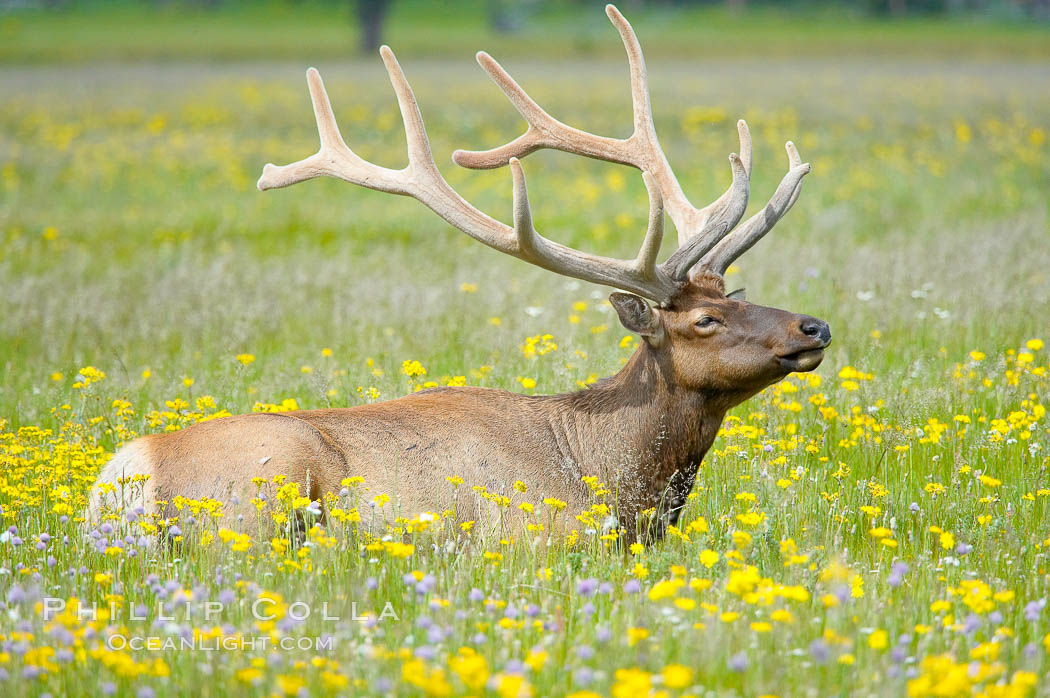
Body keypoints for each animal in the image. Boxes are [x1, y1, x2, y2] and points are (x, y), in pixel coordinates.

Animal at [90, 2, 827, 541]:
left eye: (738, 293)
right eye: (705, 319)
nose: (813, 326)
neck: (618, 481)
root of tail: (127, 475)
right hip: (259, 499)